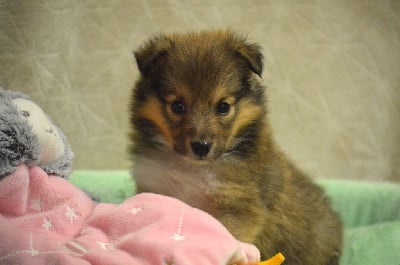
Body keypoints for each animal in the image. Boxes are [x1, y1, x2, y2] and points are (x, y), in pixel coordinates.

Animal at [130, 29, 342, 262]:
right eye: (177, 106)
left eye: (223, 106)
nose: (201, 146)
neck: (191, 169)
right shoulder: (154, 186)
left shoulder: (237, 203)